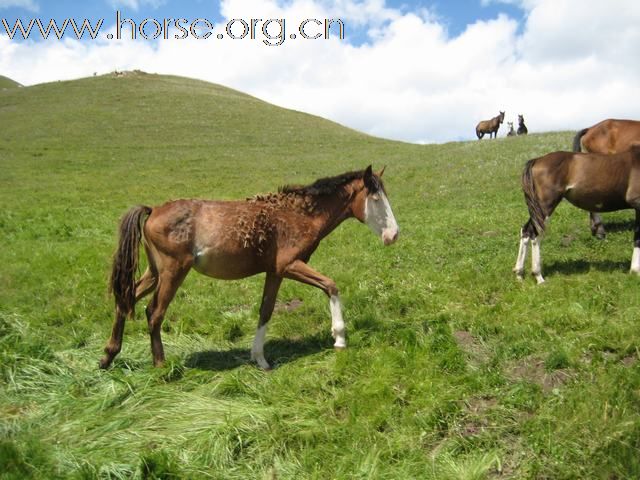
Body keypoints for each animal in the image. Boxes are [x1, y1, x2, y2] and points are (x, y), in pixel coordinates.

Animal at [99, 167, 400, 370]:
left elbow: (266, 311)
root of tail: (153, 210)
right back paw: (161, 366)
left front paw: (260, 359)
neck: (299, 215)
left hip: (154, 272)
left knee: (125, 299)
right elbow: (331, 285)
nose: (393, 235)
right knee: (154, 312)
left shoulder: (275, 272)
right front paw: (339, 339)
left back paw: (108, 356)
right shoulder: (290, 265)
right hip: (173, 272)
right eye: (375, 198)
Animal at [516, 144, 640, 284]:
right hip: (545, 207)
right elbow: (638, 238)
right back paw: (538, 276)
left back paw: (519, 274)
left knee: (526, 231)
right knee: (534, 234)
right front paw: (635, 271)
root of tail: (537, 160)